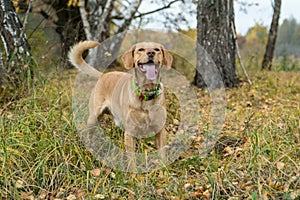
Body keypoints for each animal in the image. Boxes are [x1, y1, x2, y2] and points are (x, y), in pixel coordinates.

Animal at [67, 41, 171, 169]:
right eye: (141, 49)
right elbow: (132, 160)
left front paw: (164, 171)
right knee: (88, 135)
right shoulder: (130, 133)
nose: (151, 53)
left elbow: (162, 155)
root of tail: (104, 75)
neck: (146, 93)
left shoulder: (160, 130)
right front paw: (133, 173)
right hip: (93, 118)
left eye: (157, 49)